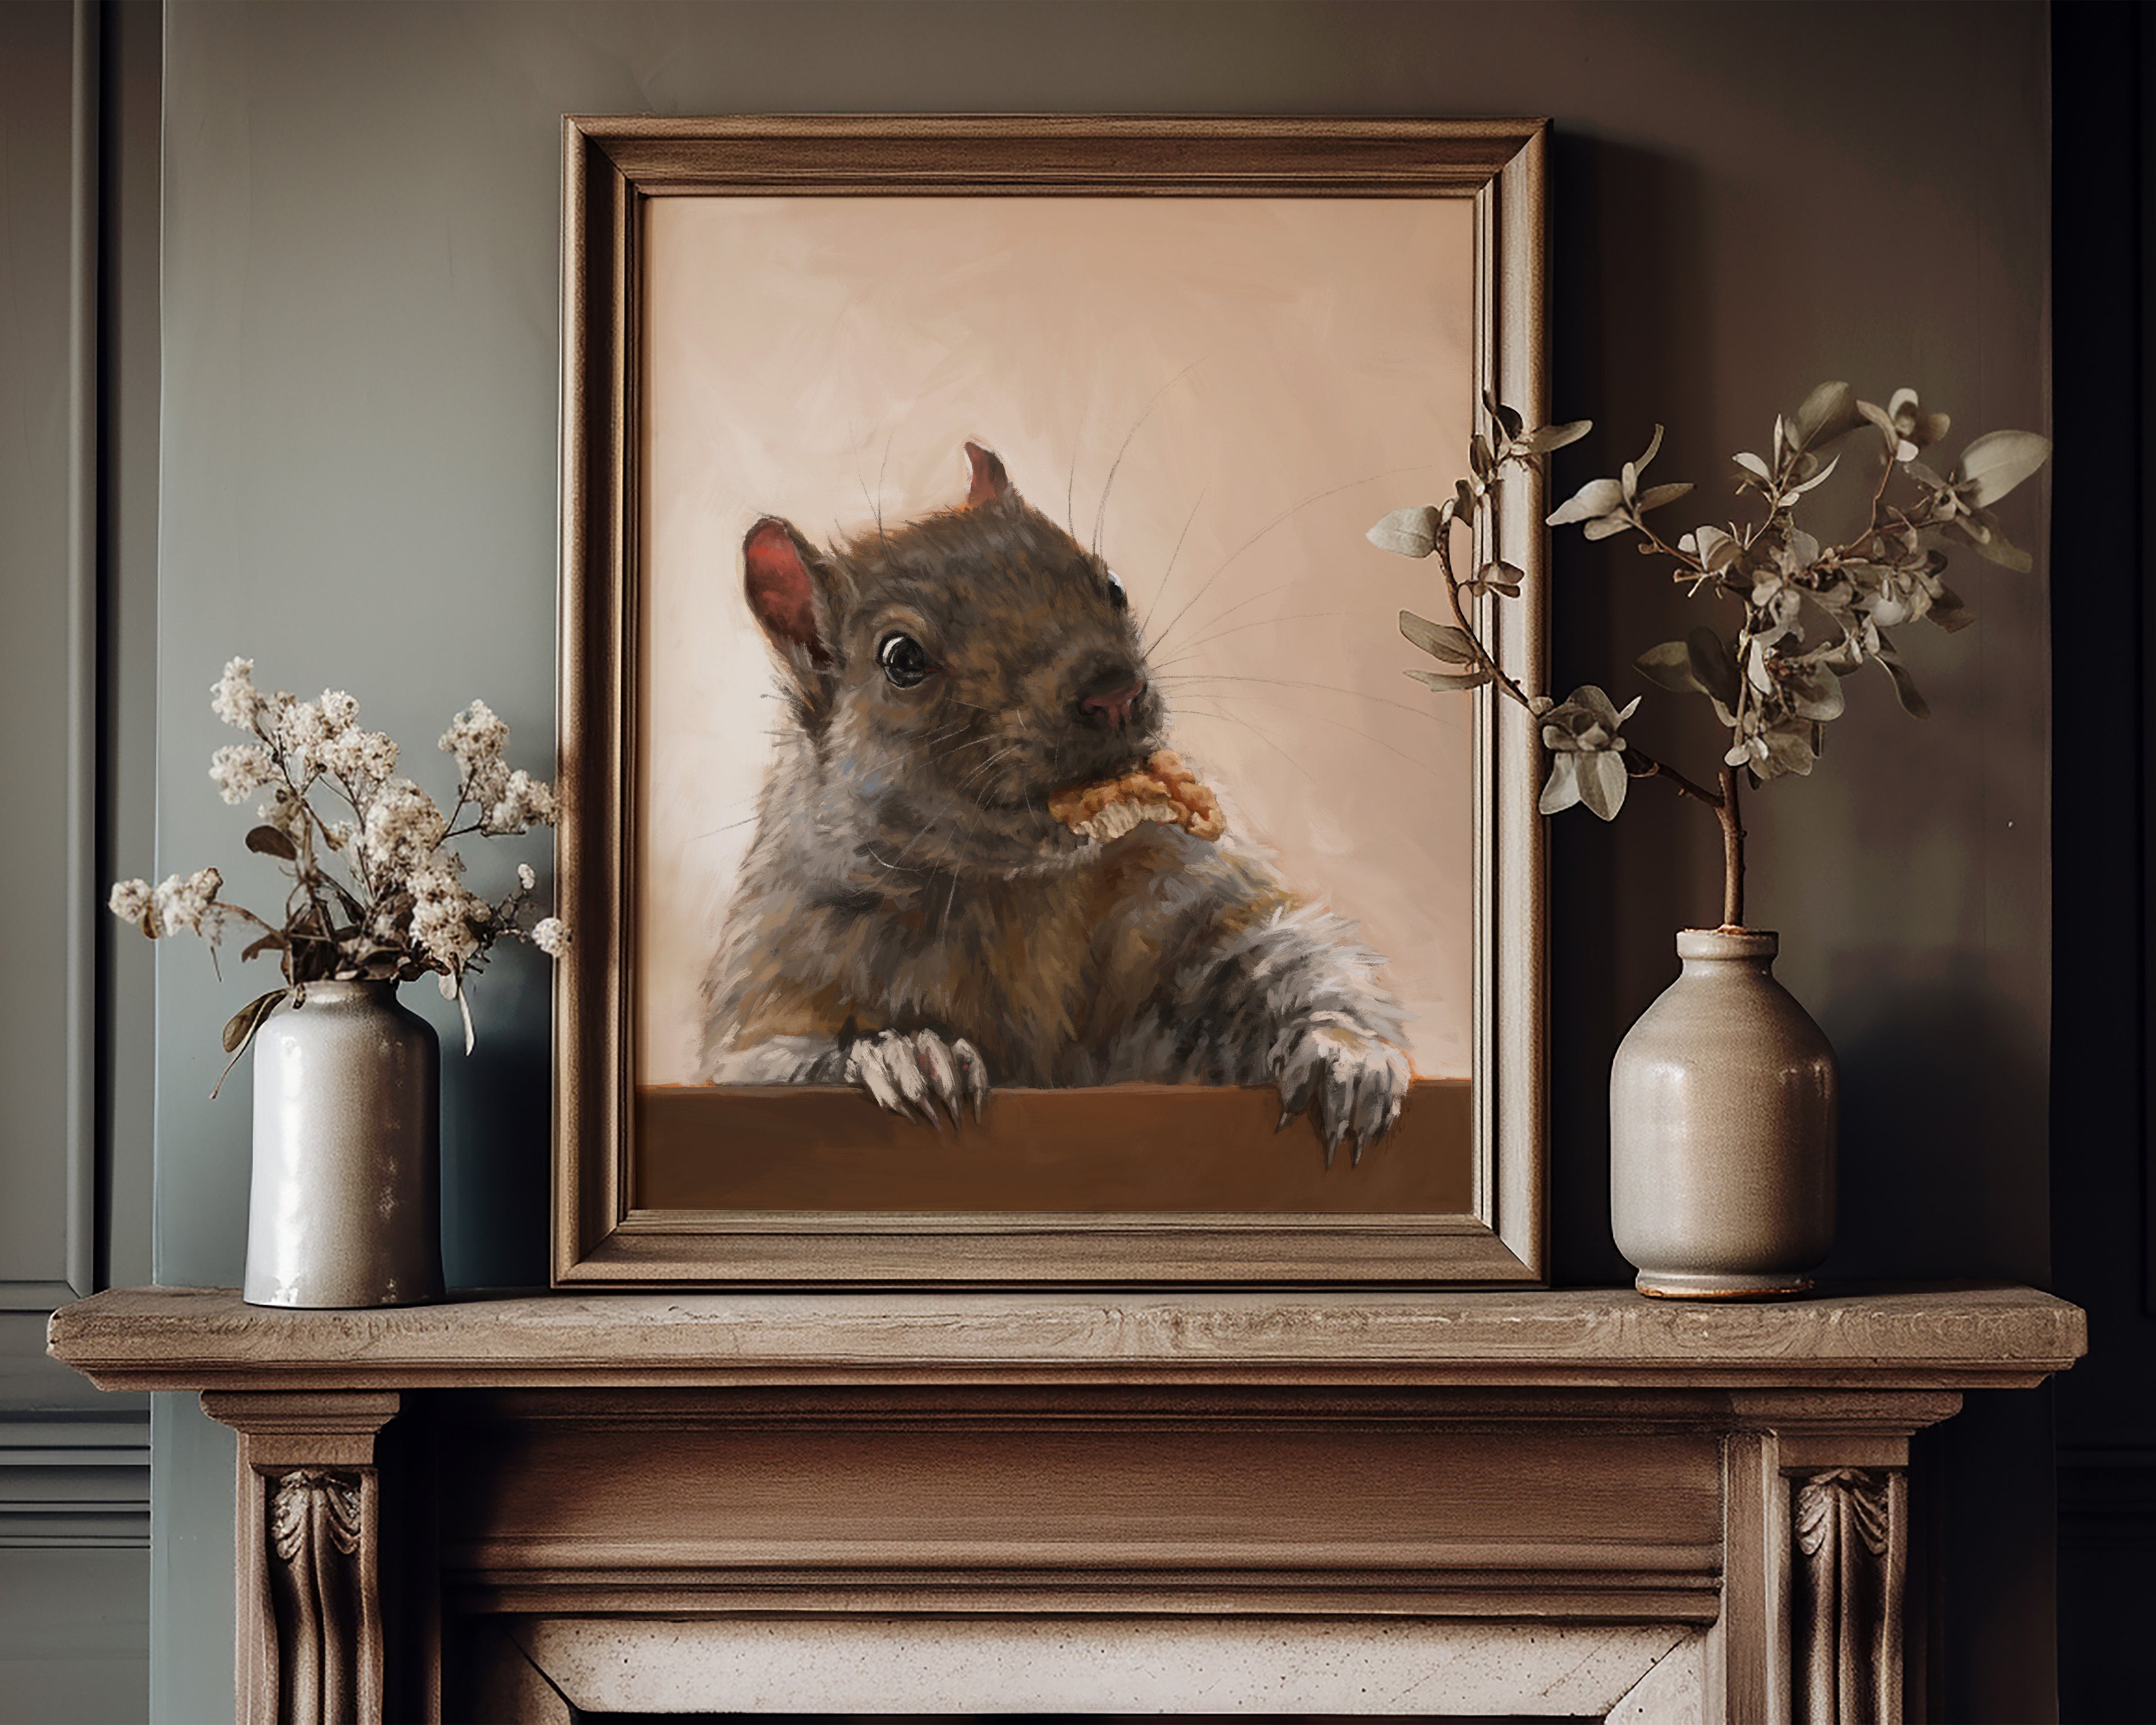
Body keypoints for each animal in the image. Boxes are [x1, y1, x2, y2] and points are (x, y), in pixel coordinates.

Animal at [697, 440, 1411, 1162]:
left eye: (1112, 584)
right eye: (901, 658)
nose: (1115, 690)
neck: (1017, 889)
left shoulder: (1182, 894)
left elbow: (1282, 953)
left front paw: (1346, 1054)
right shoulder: (780, 975)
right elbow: (764, 1062)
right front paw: (901, 1054)